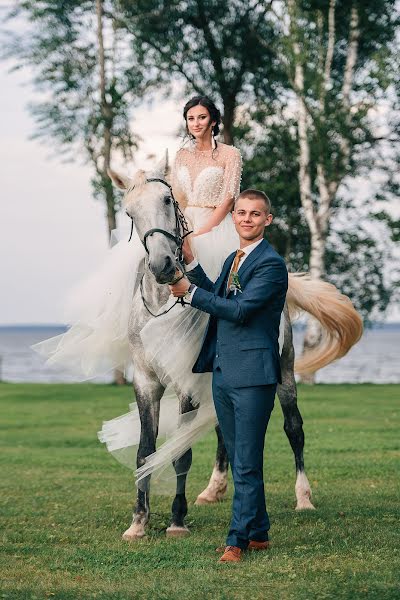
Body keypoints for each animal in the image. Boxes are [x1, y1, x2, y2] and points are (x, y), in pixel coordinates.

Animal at [108, 158, 364, 540]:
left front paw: (177, 521)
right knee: (225, 430)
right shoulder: (145, 381)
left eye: (167, 201)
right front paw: (138, 522)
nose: (162, 266)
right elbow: (145, 451)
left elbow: (181, 452)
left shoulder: (186, 382)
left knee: (294, 428)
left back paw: (303, 497)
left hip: (284, 373)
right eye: (129, 212)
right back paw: (213, 490)